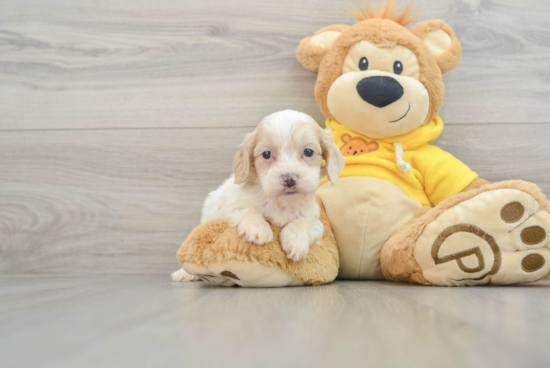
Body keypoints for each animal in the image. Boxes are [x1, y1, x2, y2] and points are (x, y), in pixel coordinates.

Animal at [172, 109, 344, 282]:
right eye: (266, 154)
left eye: (308, 152)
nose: (289, 179)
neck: (281, 203)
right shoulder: (228, 206)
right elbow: (248, 210)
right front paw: (258, 229)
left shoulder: (315, 221)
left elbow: (302, 223)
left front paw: (296, 241)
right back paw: (185, 274)